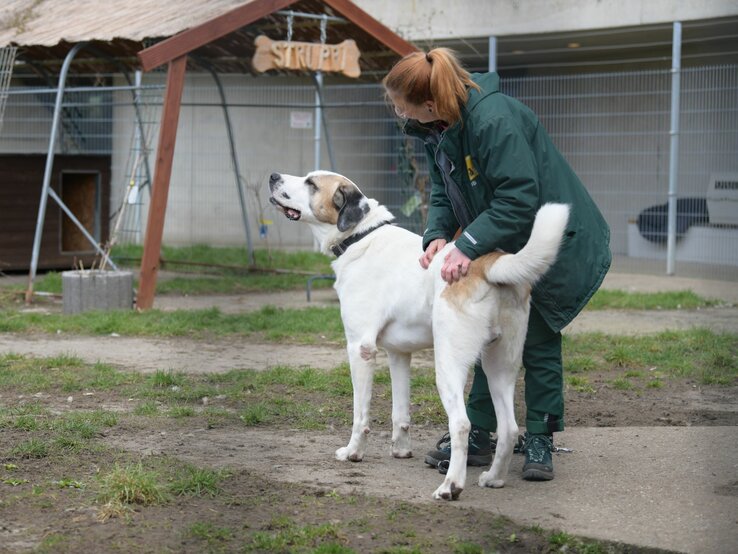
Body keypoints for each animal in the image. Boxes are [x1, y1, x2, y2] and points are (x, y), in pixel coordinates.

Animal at [268, 170, 568, 498]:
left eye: (311, 183)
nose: (273, 176)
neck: (361, 236)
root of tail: (487, 264)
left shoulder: (360, 349)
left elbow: (360, 415)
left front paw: (353, 452)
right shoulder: (398, 354)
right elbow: (400, 412)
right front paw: (401, 450)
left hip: (448, 365)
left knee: (461, 424)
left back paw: (450, 486)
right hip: (498, 366)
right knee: (509, 428)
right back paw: (493, 478)